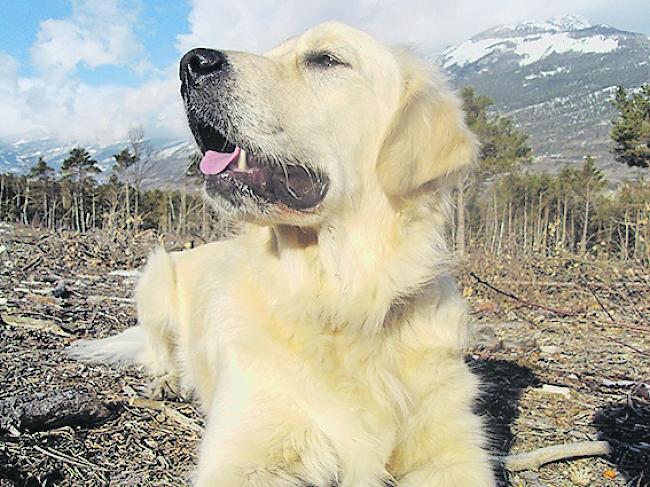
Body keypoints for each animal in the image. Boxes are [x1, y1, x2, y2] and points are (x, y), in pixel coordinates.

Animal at [71, 21, 494, 486]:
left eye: (326, 59)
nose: (190, 63)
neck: (342, 300)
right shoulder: (243, 450)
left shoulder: (454, 454)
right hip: (157, 275)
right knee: (157, 349)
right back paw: (168, 380)